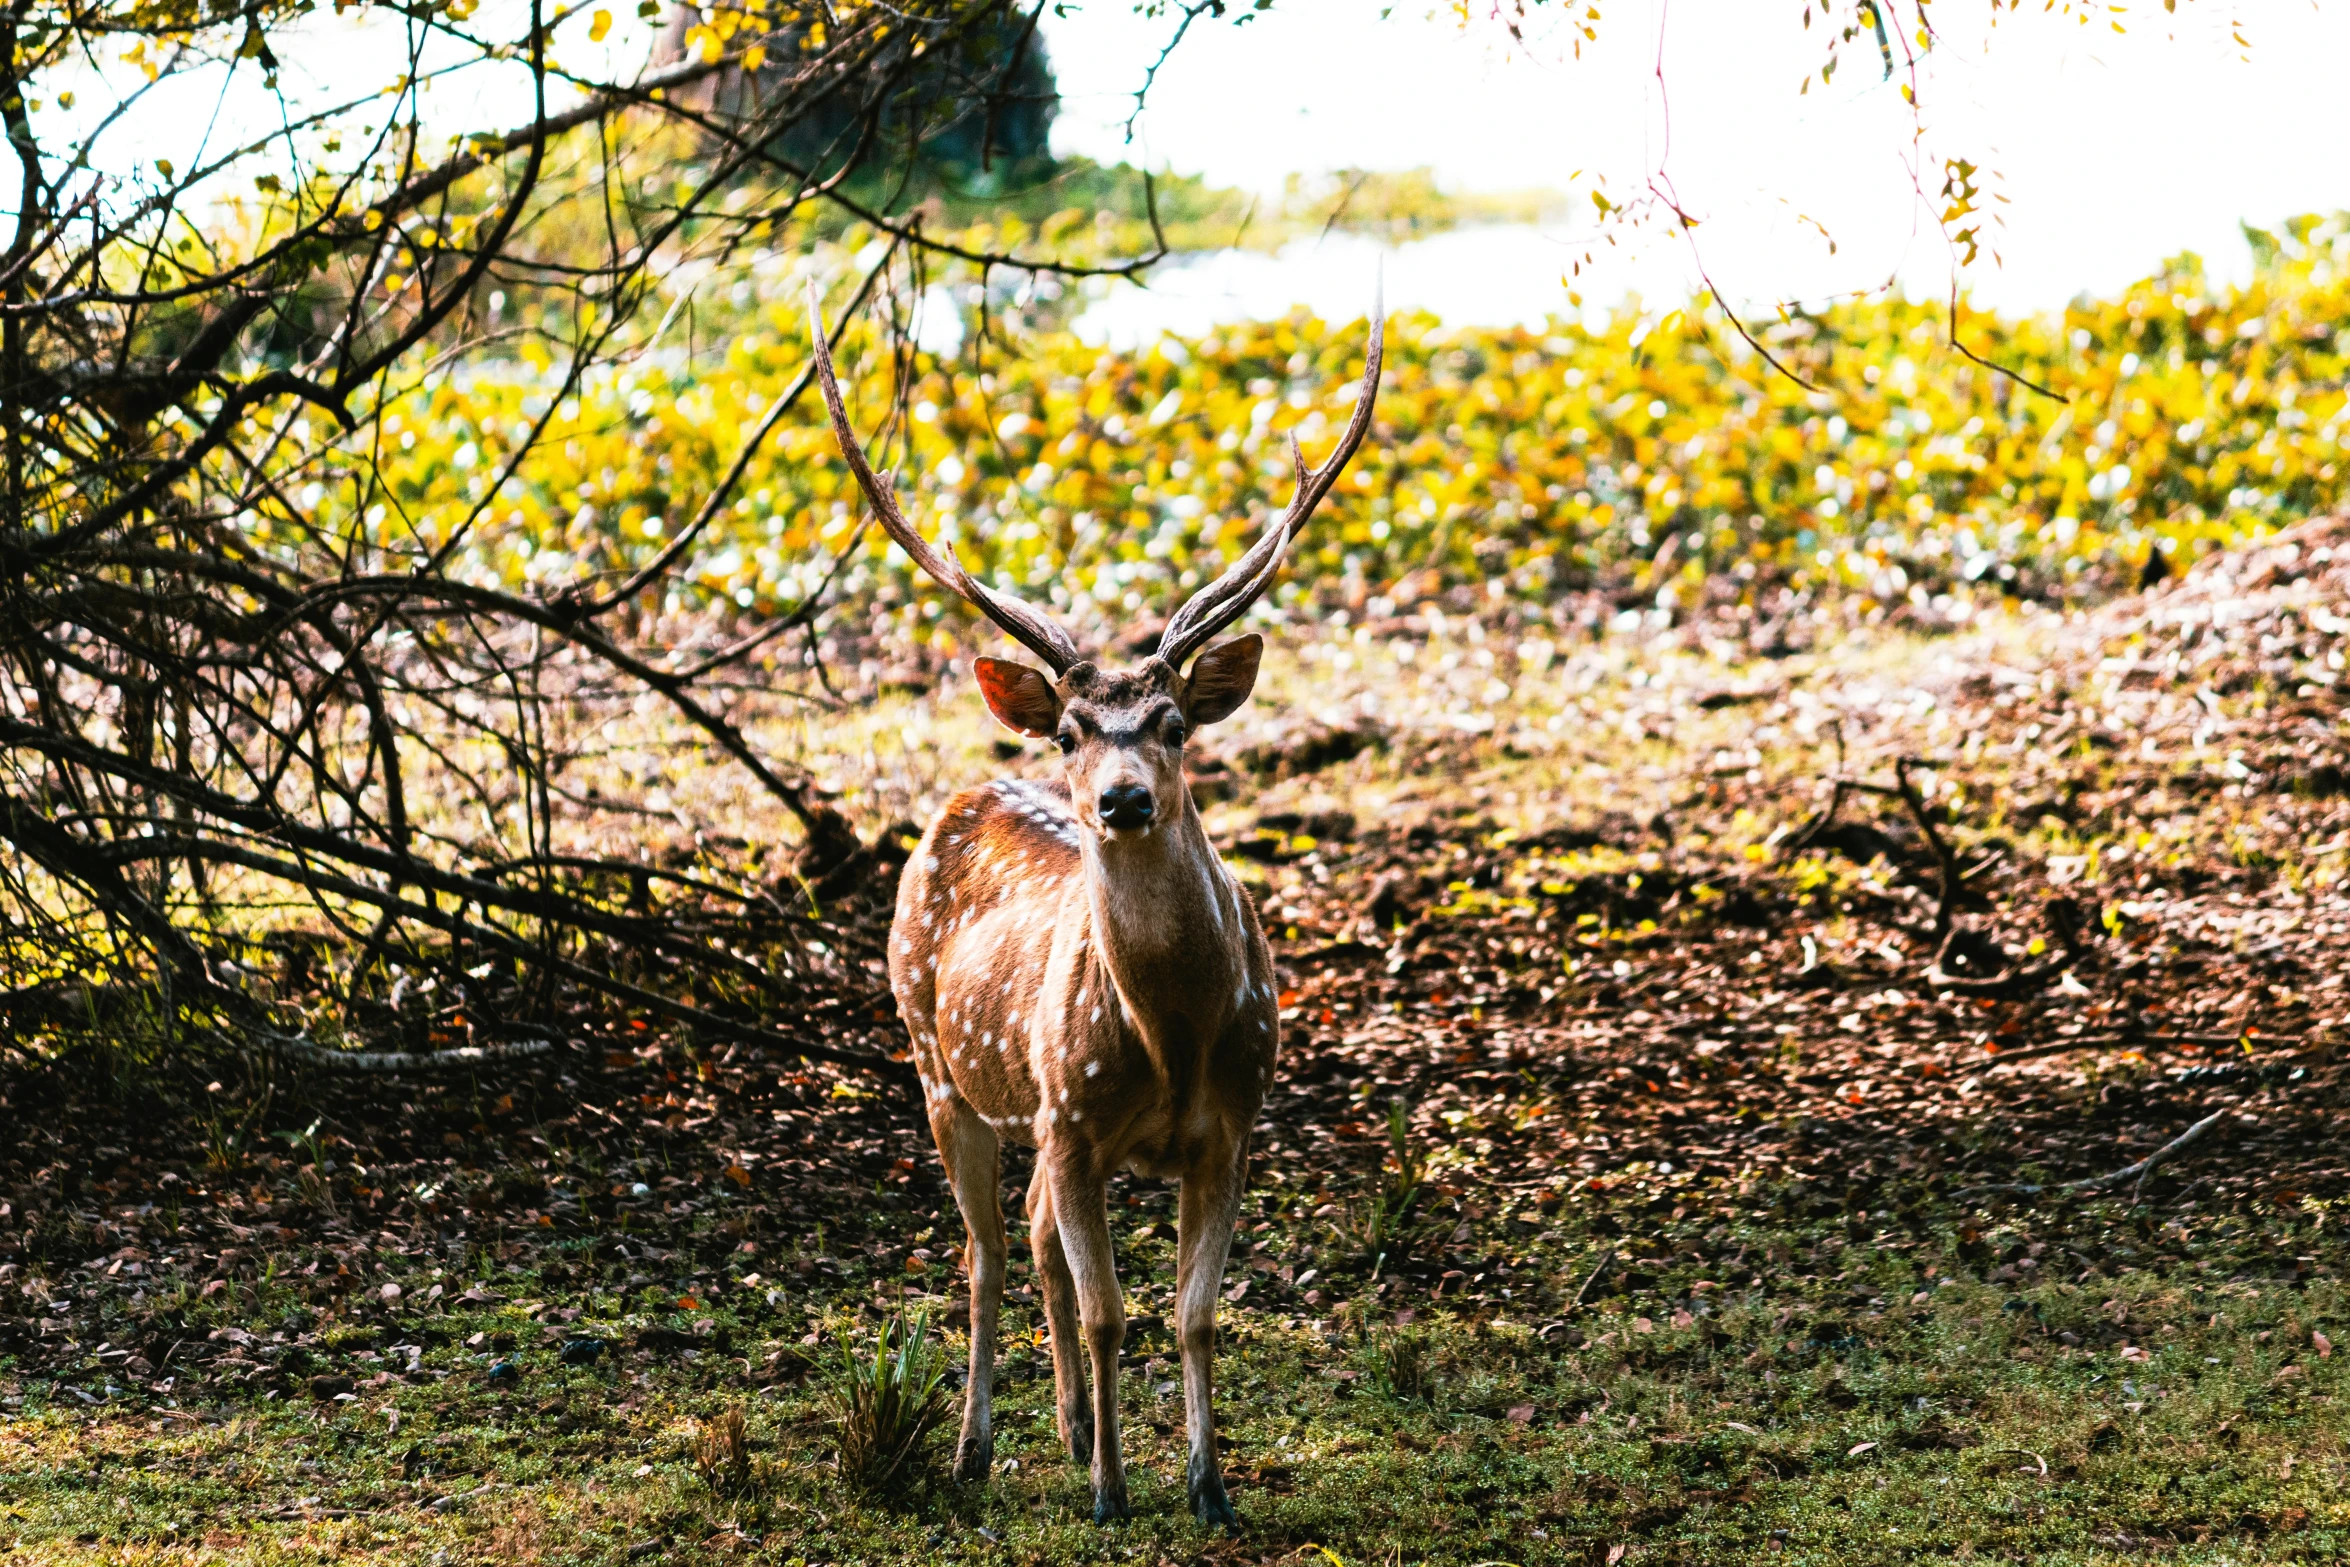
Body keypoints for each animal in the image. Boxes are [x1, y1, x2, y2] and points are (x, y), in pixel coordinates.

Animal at [817, 287, 1381, 1522]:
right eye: (1073, 731)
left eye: (1171, 721)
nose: (1120, 798)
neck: (1170, 1036)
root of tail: (963, 794)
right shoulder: (1075, 1124)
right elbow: (1110, 1312)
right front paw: (1116, 1492)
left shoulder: (1230, 1126)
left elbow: (1194, 1313)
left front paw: (1207, 1485)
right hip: (937, 1063)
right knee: (985, 1255)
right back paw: (979, 1446)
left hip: (1025, 1109)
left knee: (1028, 1240)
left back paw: (1073, 1429)